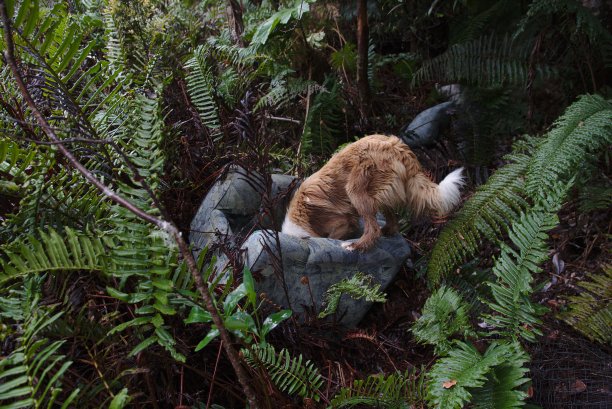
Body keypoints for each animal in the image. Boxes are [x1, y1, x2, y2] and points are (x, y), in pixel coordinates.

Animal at [282, 134, 464, 250]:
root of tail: (398, 147)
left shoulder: (341, 222)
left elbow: (332, 236)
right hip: (381, 191)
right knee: (392, 224)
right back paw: (386, 232)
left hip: (355, 190)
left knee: (373, 229)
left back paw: (355, 246)